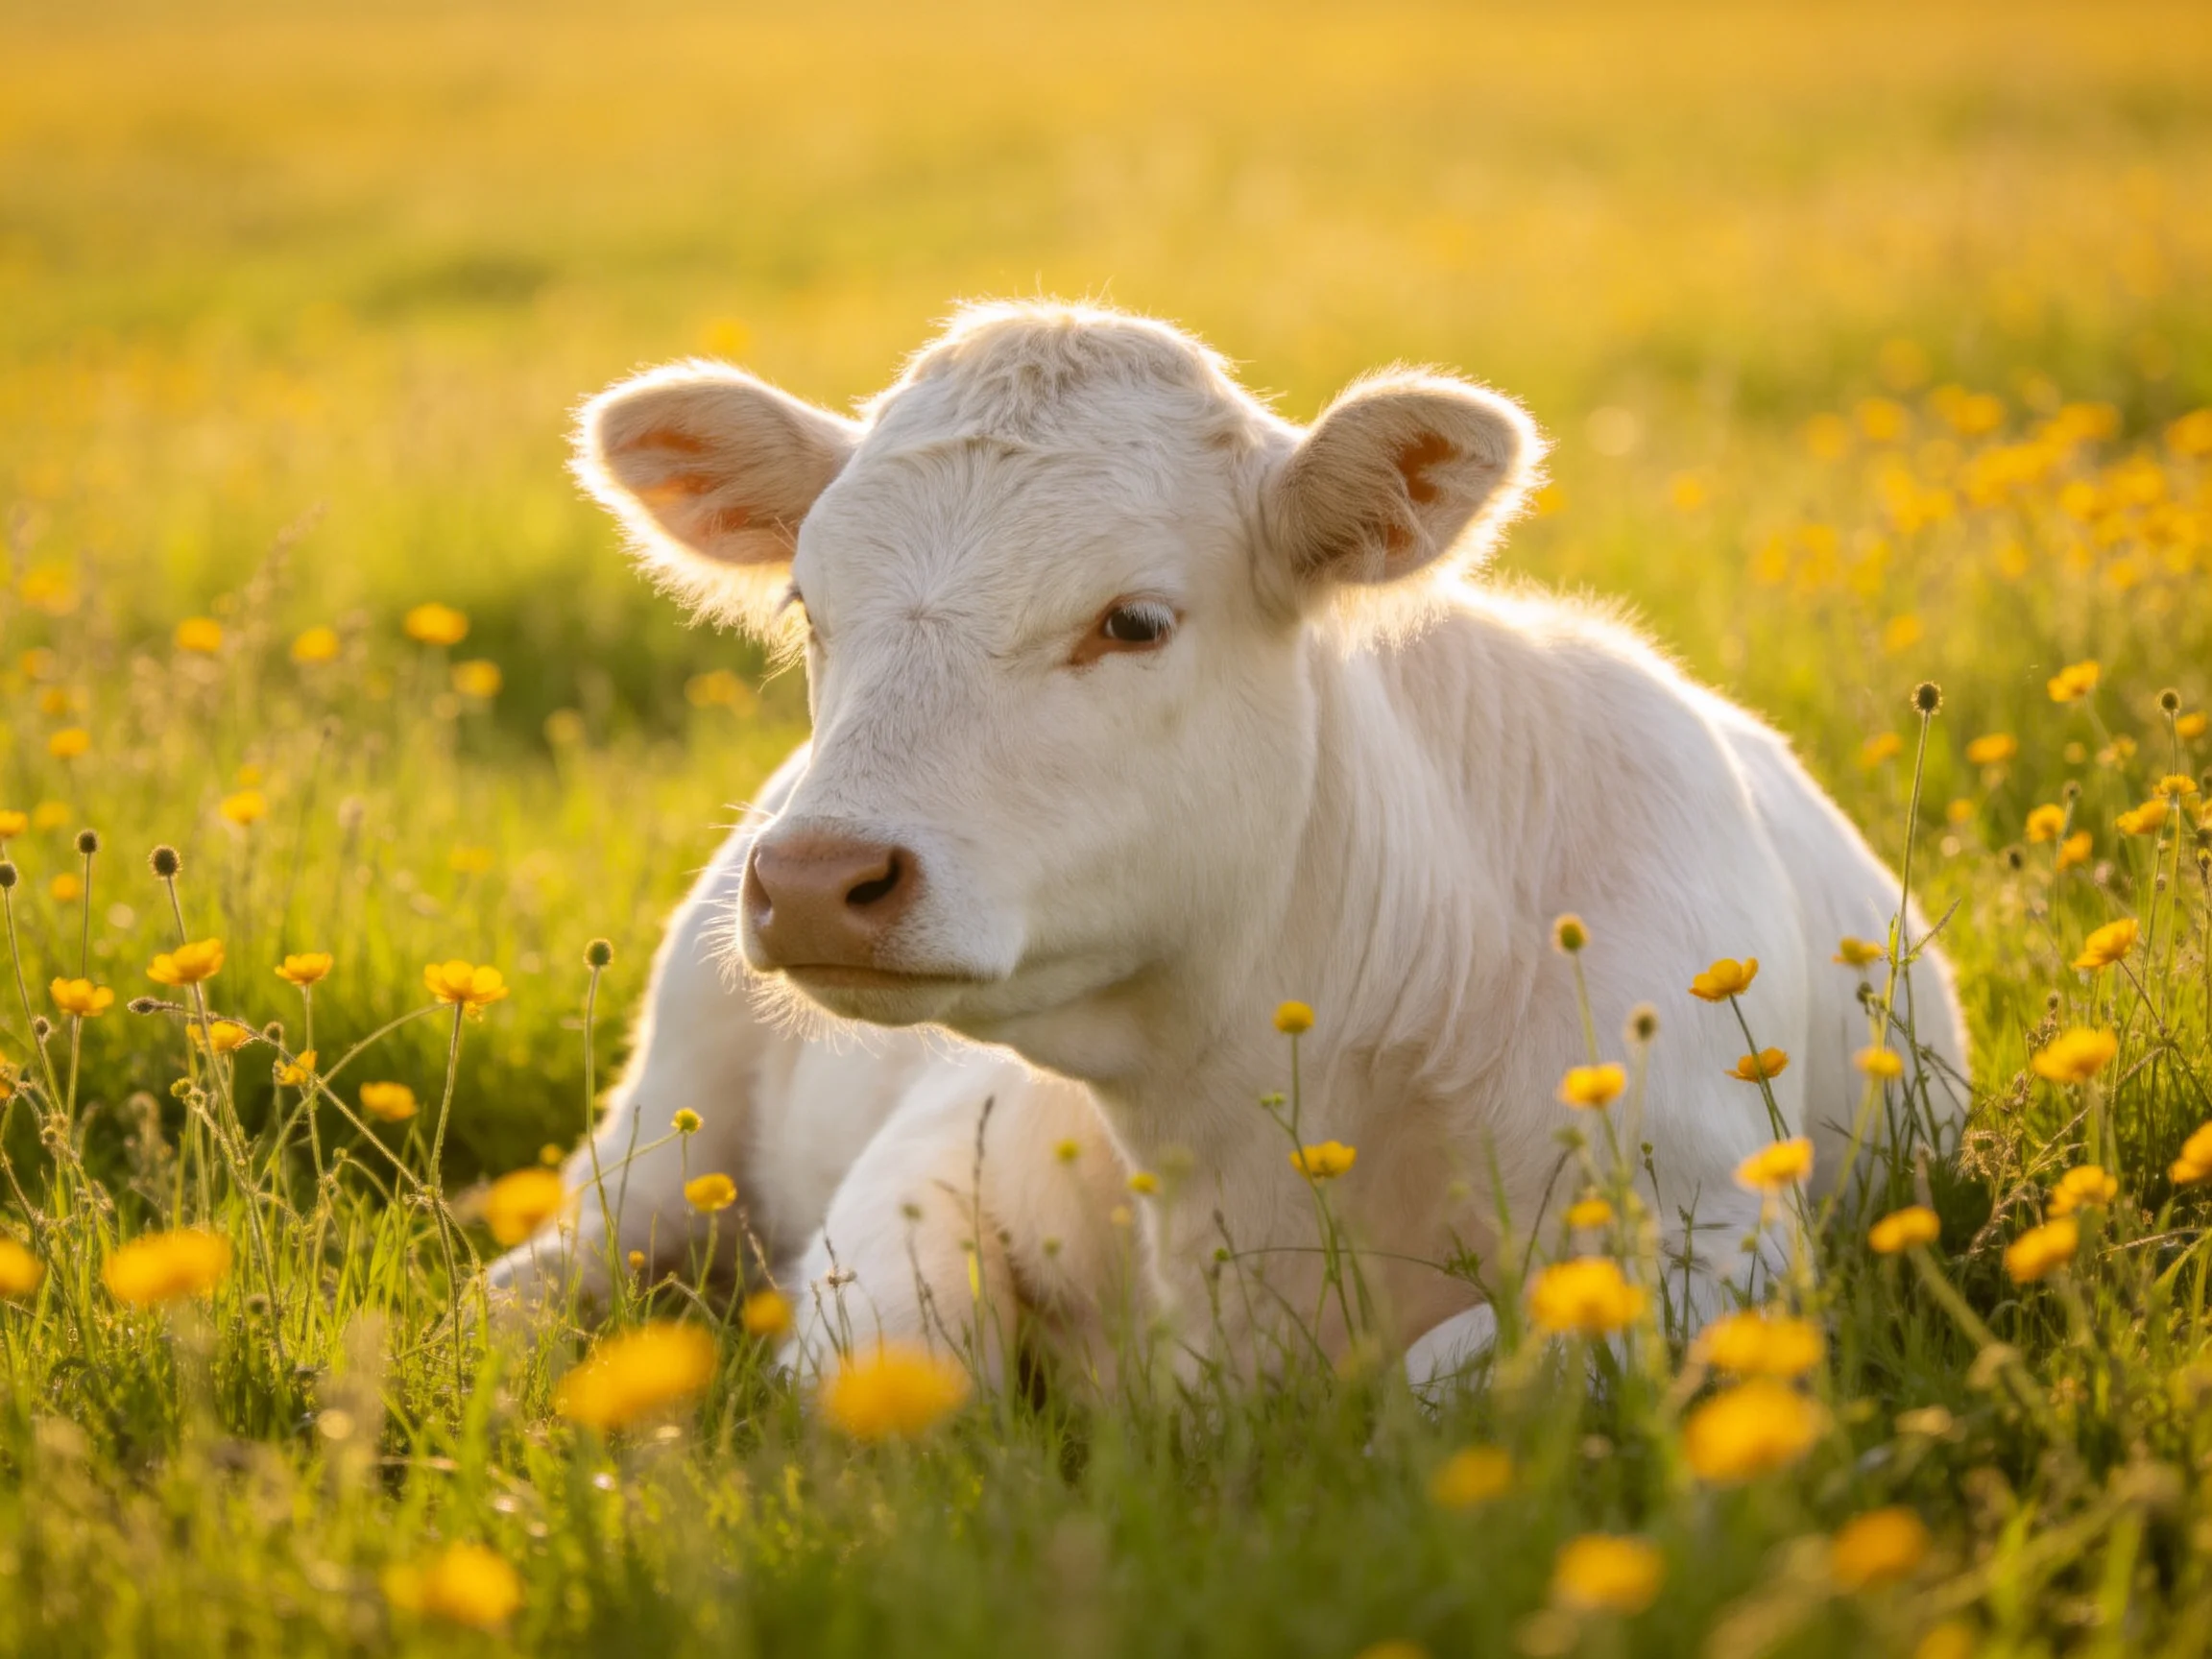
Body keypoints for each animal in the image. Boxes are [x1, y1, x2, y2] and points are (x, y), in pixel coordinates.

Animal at [487, 300, 1968, 1391]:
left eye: (1133, 621)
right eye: (807, 606)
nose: (811, 881)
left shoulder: (1713, 1237)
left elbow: (1440, 1391)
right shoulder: (919, 1168)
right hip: (668, 1115)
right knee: (543, 1272)